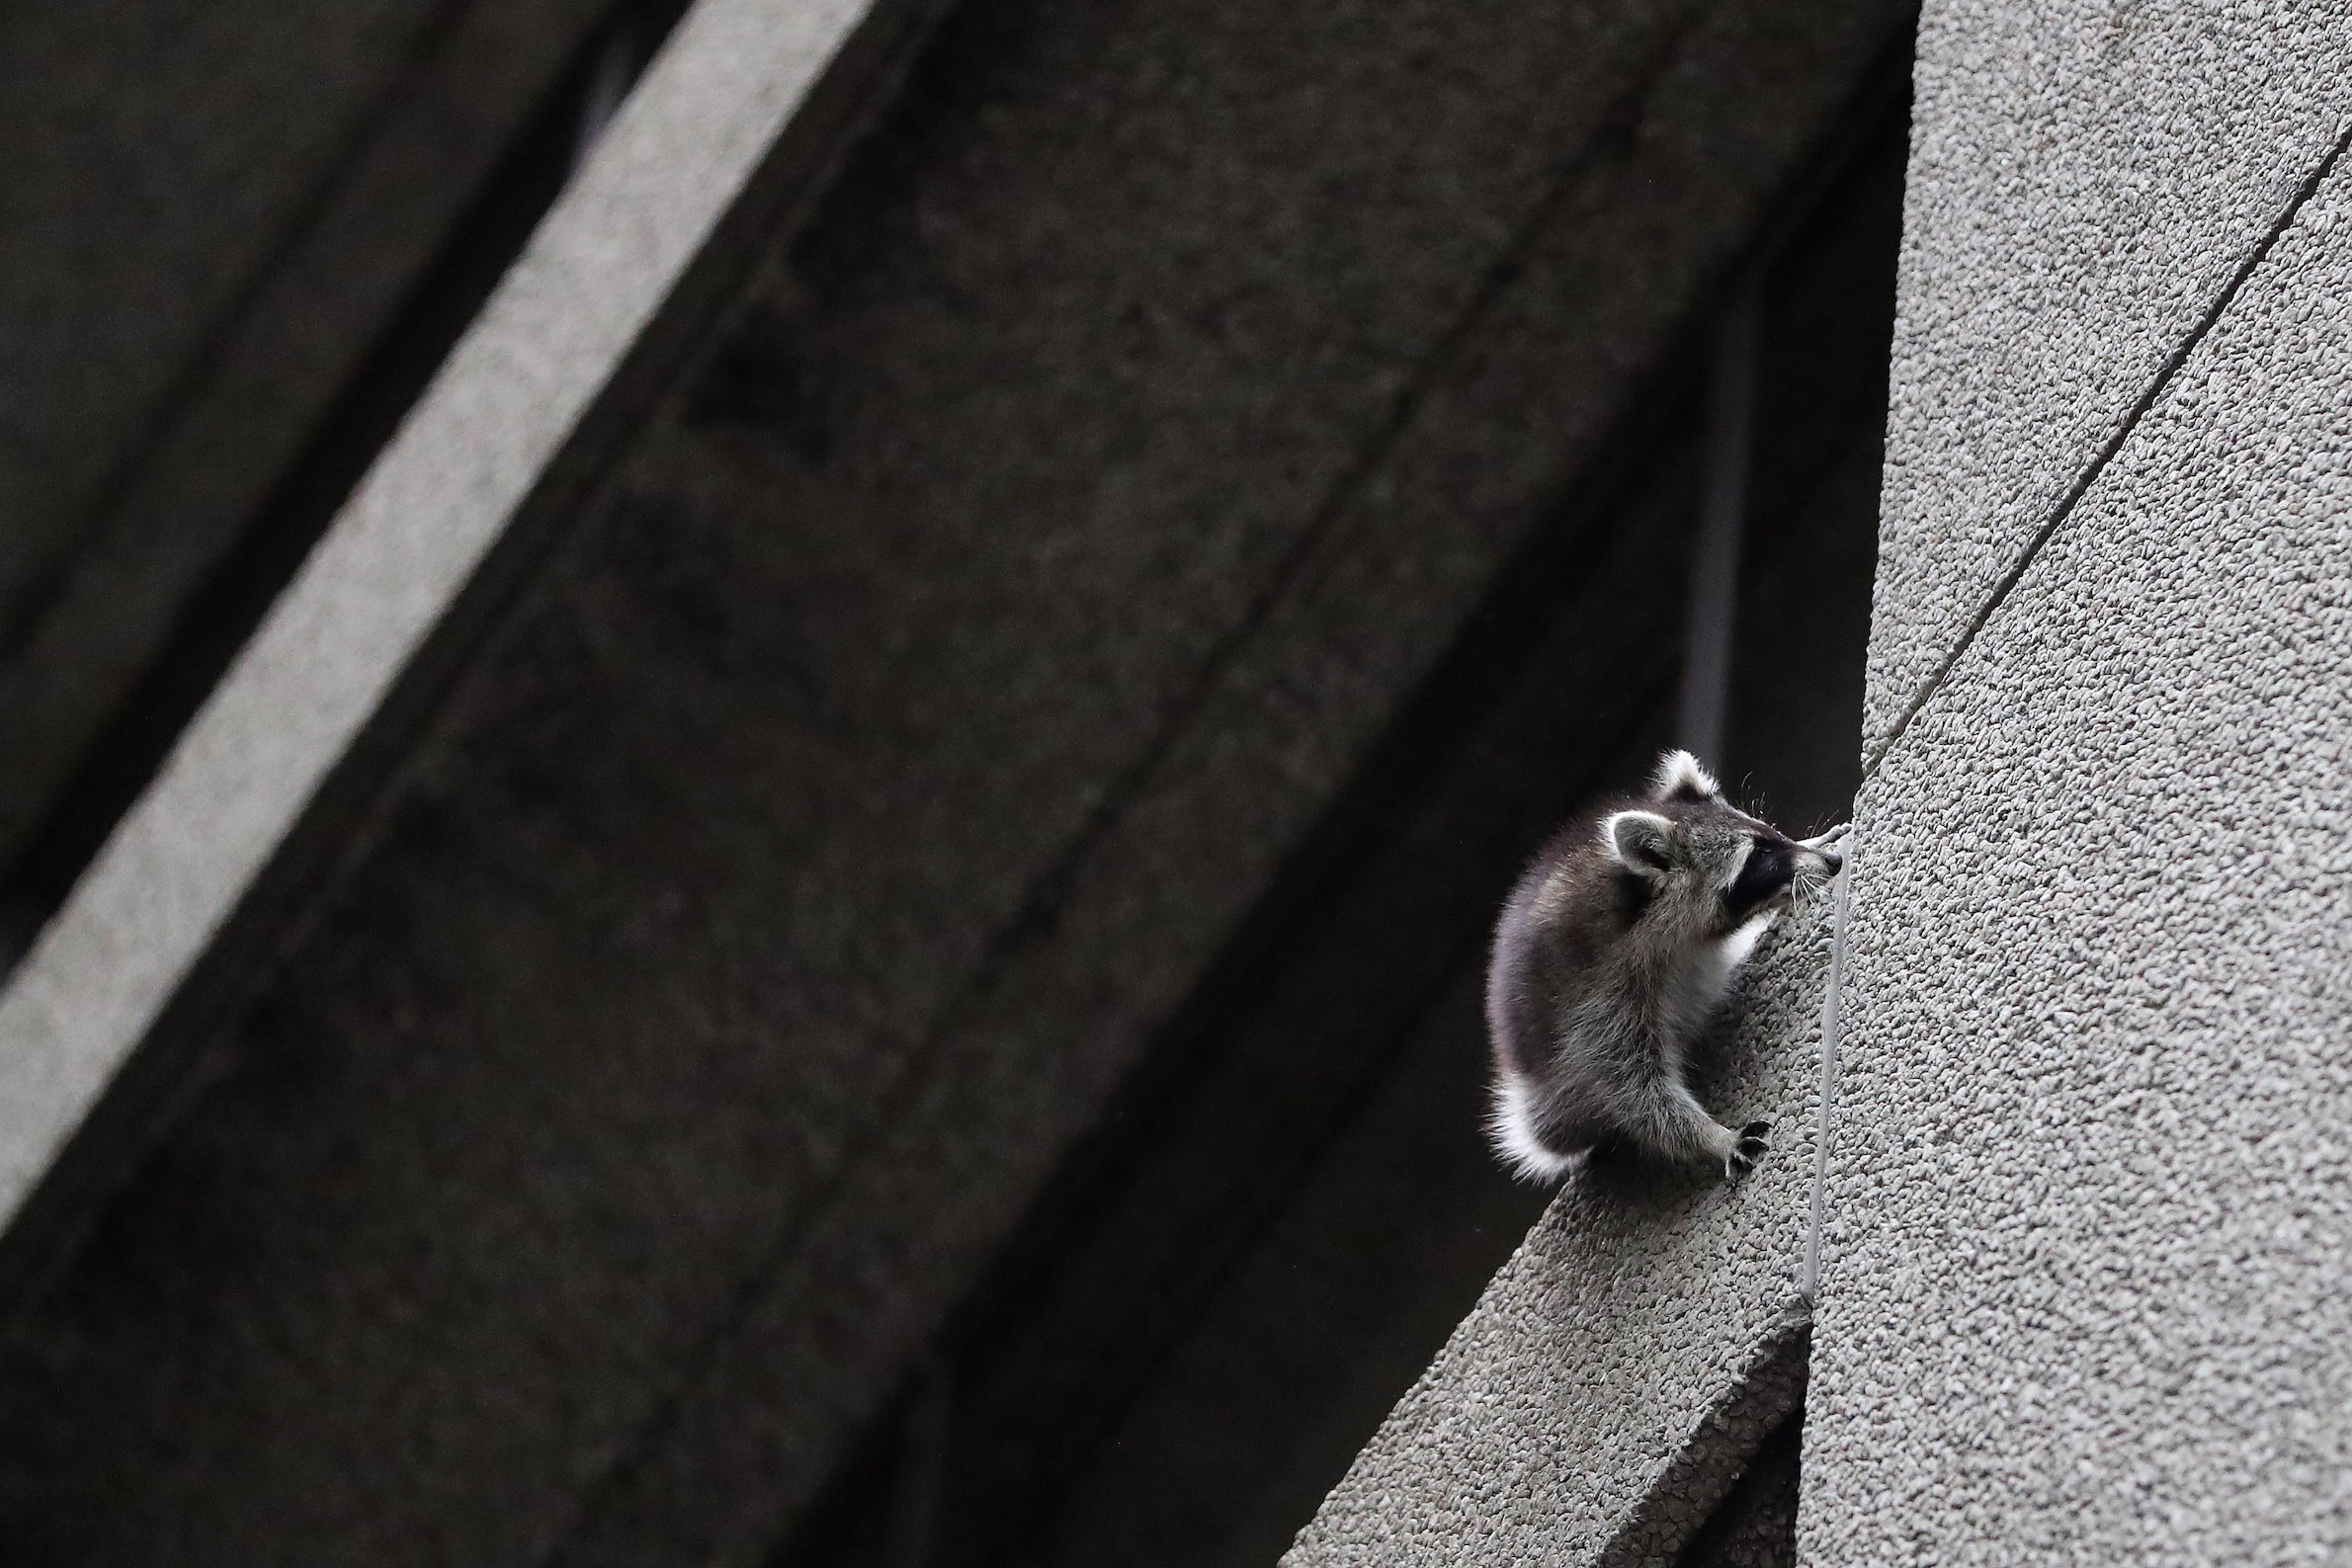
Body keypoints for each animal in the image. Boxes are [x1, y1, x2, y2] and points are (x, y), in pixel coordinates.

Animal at [1485, 749, 1844, 1184]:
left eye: (1771, 834)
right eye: (1758, 858)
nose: (1833, 862)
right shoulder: (1593, 1001)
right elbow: (1634, 1090)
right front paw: (1710, 1135)